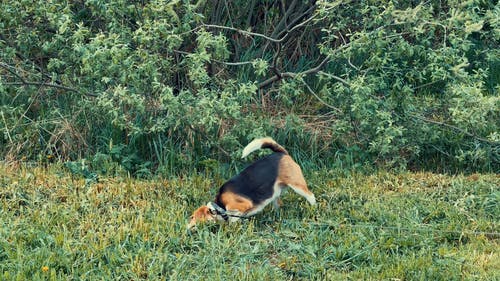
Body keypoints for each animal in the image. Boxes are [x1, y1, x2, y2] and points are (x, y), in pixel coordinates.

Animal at [186, 137, 314, 229]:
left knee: (311, 196)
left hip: (297, 185)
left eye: (192, 217)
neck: (219, 207)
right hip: (275, 192)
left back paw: (313, 208)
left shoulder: (241, 205)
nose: (186, 228)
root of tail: (281, 153)